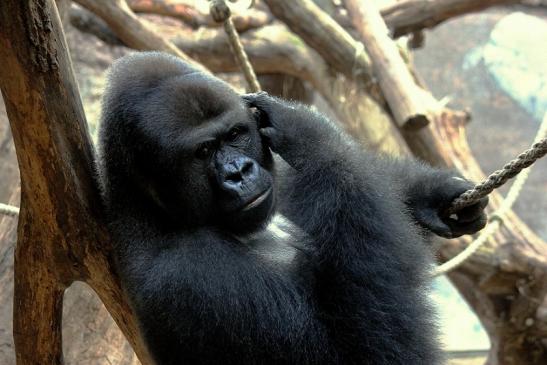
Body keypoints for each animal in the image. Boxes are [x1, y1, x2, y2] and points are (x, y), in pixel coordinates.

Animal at [97, 52, 488, 364]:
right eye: (203, 152)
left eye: (235, 135)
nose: (239, 172)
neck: (150, 210)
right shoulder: (188, 277)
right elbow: (369, 352)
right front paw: (310, 134)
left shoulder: (279, 184)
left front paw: (432, 194)